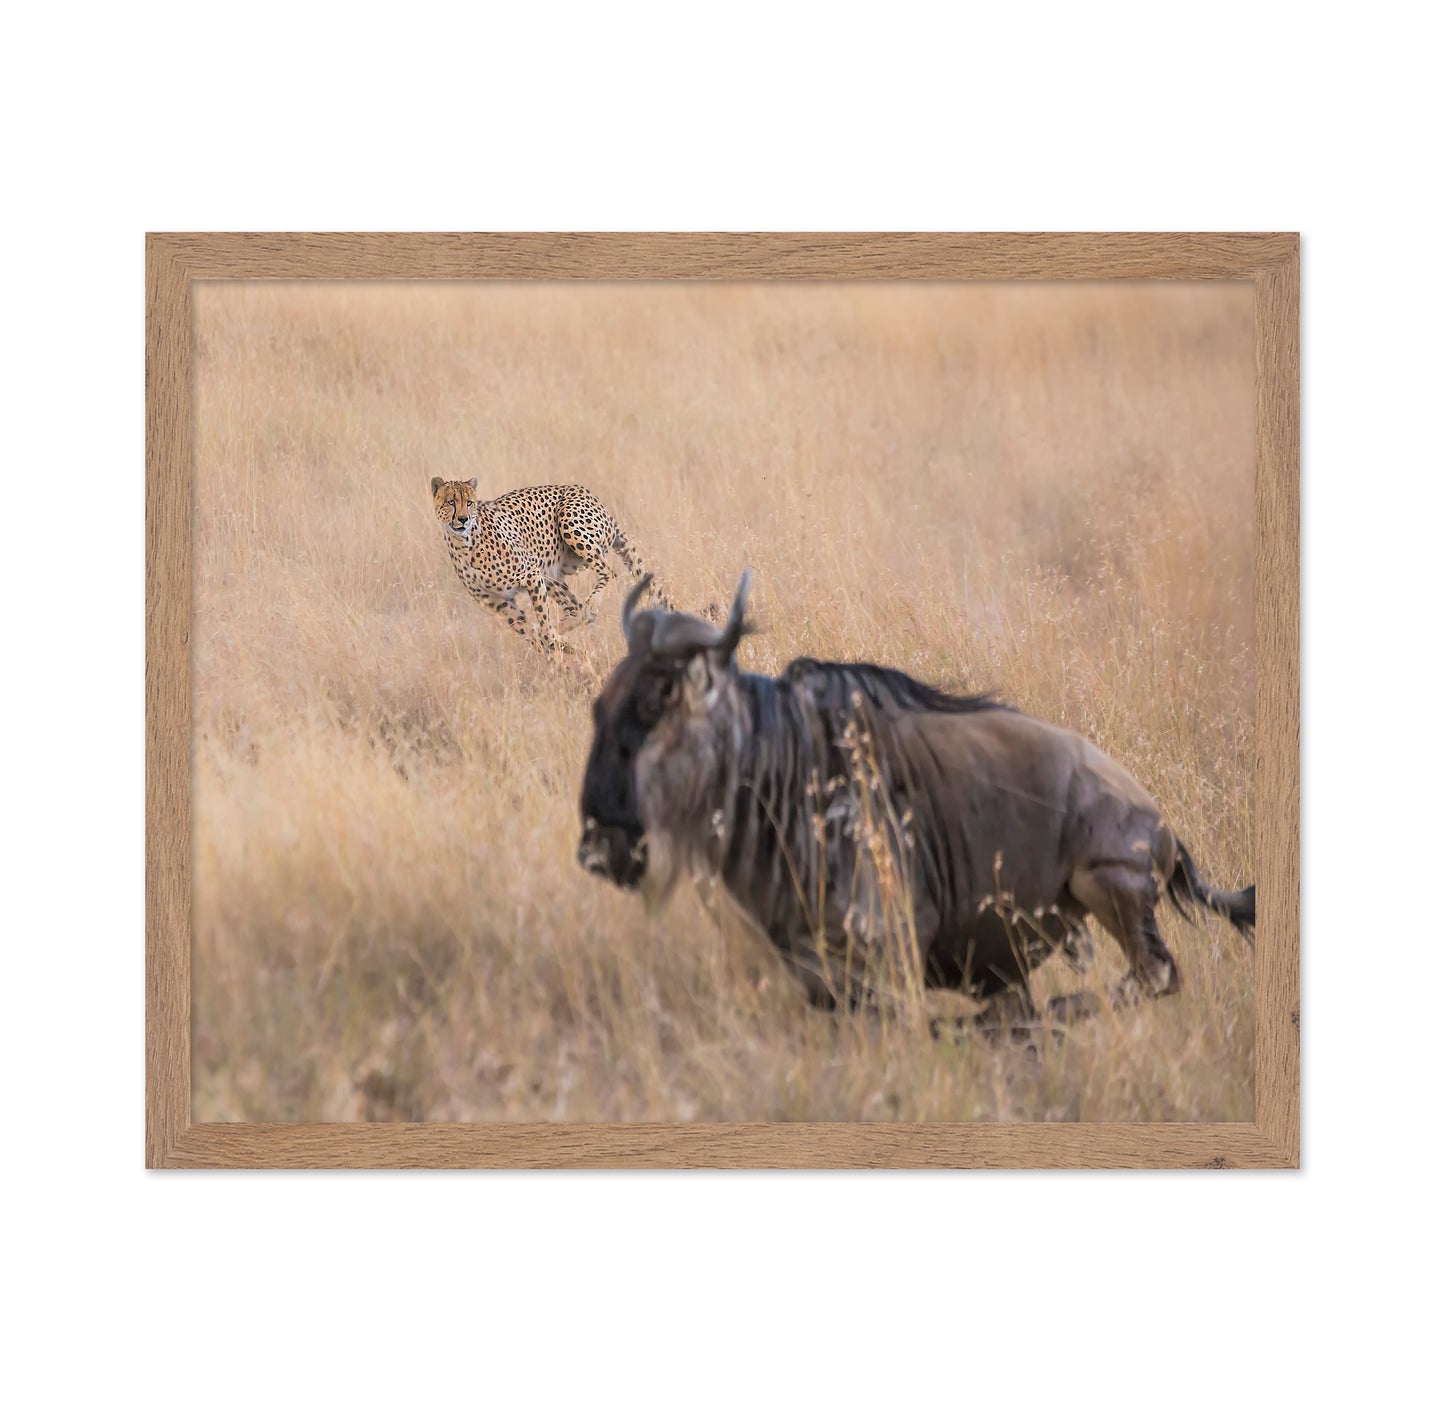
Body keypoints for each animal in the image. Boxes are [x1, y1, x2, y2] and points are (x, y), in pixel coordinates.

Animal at [431, 477, 680, 654]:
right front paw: (557, 653)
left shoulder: (531, 575)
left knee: (608, 574)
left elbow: (543, 625)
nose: (463, 519)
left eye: (469, 503)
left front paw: (556, 644)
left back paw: (588, 607)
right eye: (451, 502)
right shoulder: (498, 602)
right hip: (552, 574)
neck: (464, 543)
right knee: (576, 609)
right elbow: (531, 631)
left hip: (569, 522)